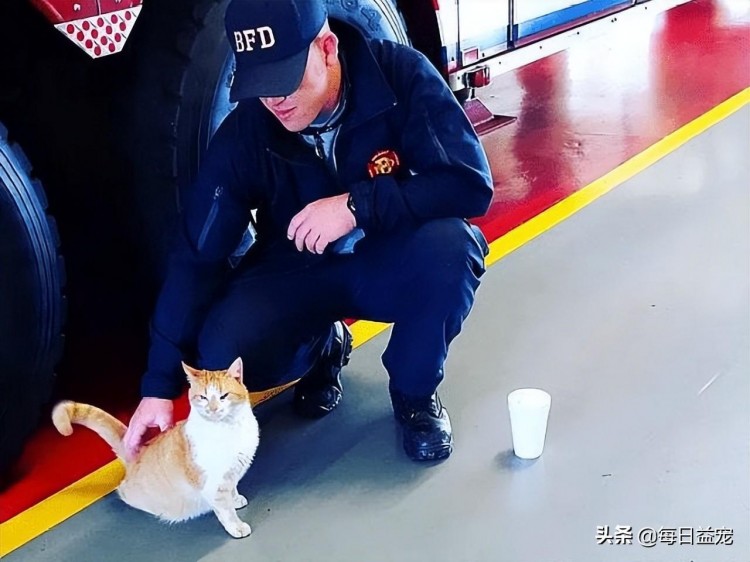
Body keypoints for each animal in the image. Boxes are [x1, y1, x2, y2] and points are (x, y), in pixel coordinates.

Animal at [51, 356, 260, 536]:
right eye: (203, 397)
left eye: (224, 396)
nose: (213, 409)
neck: (229, 429)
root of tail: (137, 452)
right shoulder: (214, 485)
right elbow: (226, 511)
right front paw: (236, 526)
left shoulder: (231, 474)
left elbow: (232, 490)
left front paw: (236, 499)